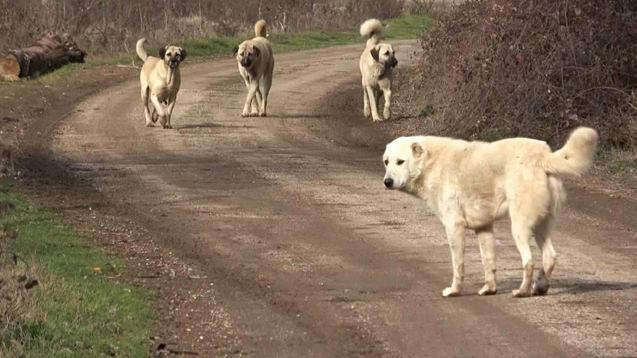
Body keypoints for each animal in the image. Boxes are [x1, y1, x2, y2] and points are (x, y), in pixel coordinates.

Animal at [382, 127, 596, 298]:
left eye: (400, 162)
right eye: (386, 162)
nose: (387, 182)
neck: (430, 163)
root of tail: (542, 156)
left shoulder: (454, 227)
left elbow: (458, 265)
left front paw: (454, 291)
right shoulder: (483, 227)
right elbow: (488, 262)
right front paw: (489, 289)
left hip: (519, 227)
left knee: (529, 261)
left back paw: (522, 292)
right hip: (541, 226)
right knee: (550, 257)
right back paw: (540, 288)